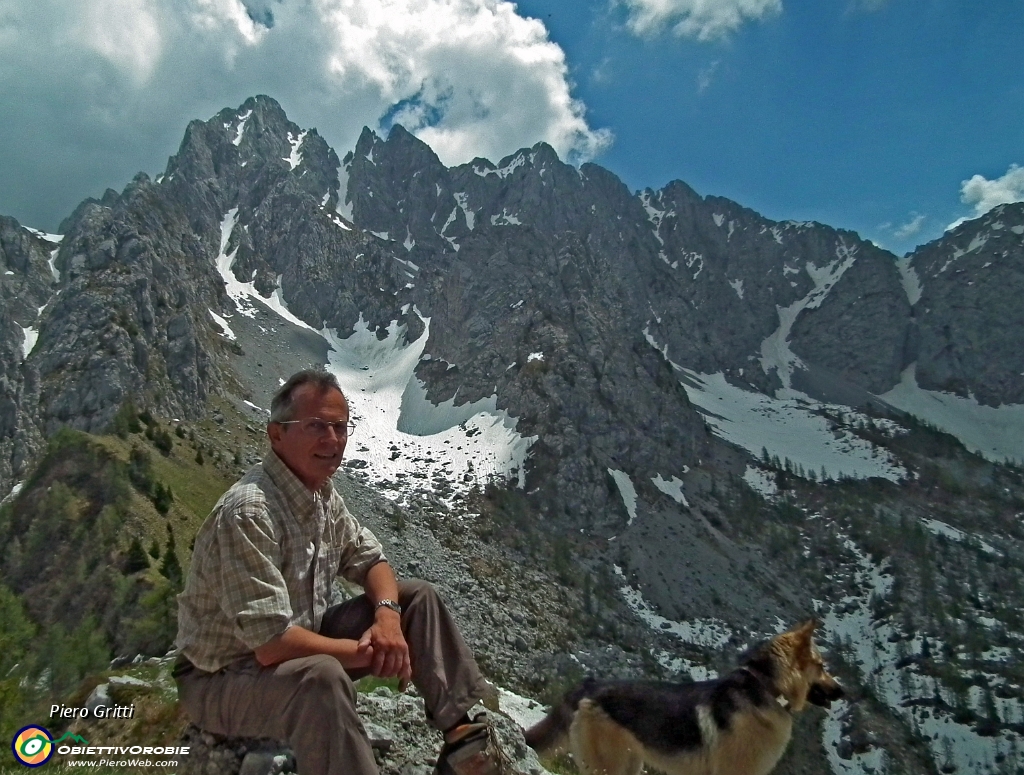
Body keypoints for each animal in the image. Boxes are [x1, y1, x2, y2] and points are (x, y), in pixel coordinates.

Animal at [524, 618, 843, 773]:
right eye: (822, 667)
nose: (843, 691)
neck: (766, 687)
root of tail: (588, 685)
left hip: (629, 764)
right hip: (608, 767)